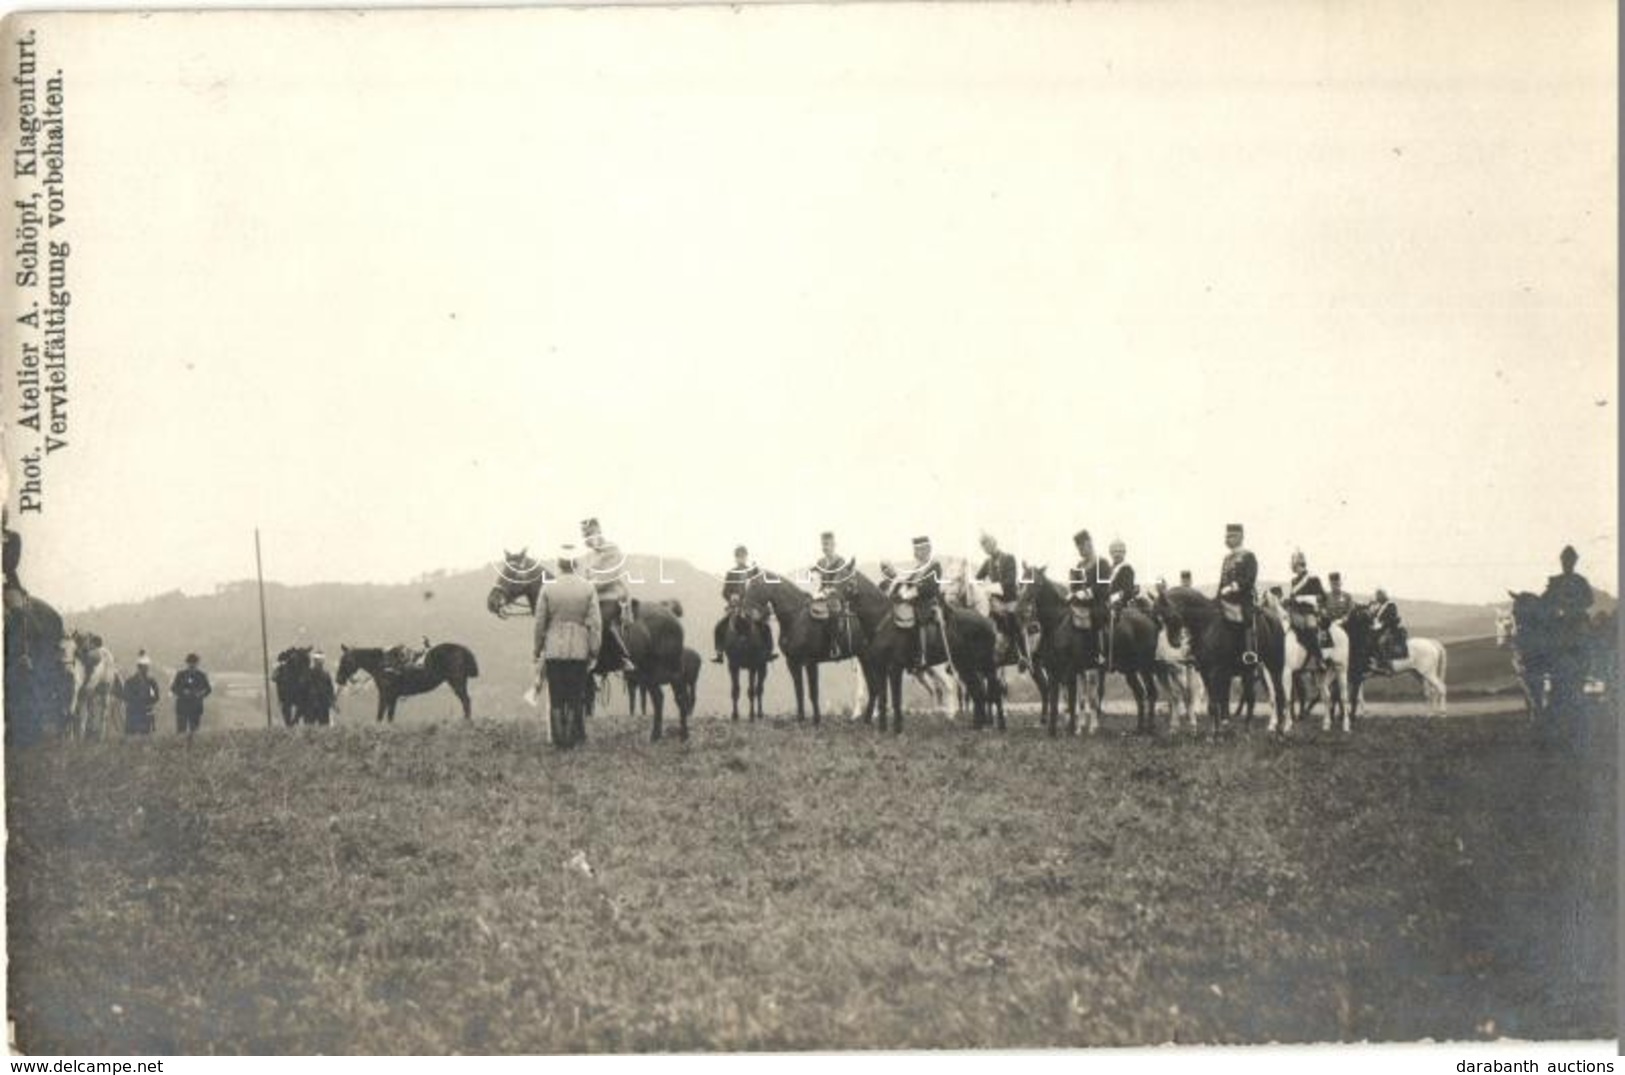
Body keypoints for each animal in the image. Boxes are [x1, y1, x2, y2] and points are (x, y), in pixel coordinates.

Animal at [331, 639, 477, 724]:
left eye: (345, 660)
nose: (338, 679)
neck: (383, 663)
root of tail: (463, 650)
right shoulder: (389, 696)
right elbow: (385, 716)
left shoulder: (387, 695)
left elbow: (384, 716)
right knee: (466, 701)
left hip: (457, 682)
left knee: (466, 701)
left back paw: (467, 721)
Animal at [1157, 584, 1280, 737]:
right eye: (1158, 618)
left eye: (1169, 616)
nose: (1174, 643)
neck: (1207, 624)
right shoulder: (1205, 673)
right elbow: (1213, 704)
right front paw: (1215, 732)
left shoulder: (1215, 672)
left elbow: (1217, 702)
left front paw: (1216, 733)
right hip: (1251, 672)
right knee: (1252, 697)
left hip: (1270, 668)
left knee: (1271, 695)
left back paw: (1259, 729)